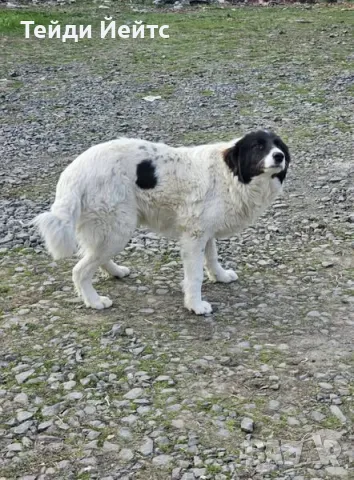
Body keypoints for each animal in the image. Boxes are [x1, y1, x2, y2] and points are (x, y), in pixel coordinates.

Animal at [34, 129, 290, 316]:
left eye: (278, 145)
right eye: (258, 146)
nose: (279, 156)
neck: (230, 174)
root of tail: (74, 172)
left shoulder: (204, 232)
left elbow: (212, 258)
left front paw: (220, 276)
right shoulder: (194, 237)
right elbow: (194, 275)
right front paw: (196, 305)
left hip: (112, 229)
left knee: (95, 256)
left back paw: (116, 271)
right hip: (119, 227)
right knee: (80, 270)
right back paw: (94, 301)